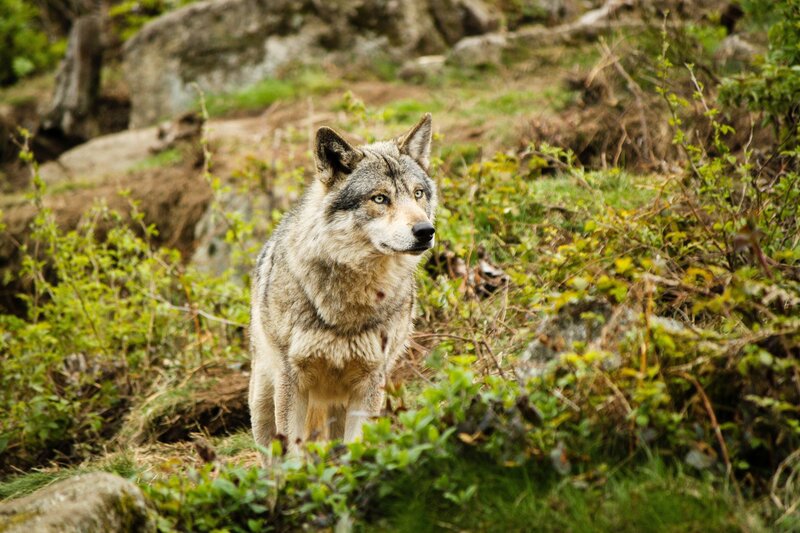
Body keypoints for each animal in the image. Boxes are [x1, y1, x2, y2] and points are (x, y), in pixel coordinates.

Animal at [248, 114, 437, 462]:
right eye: (380, 198)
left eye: (418, 193)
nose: (425, 231)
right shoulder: (292, 381)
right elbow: (294, 456)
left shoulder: (370, 383)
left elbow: (357, 447)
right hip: (264, 402)